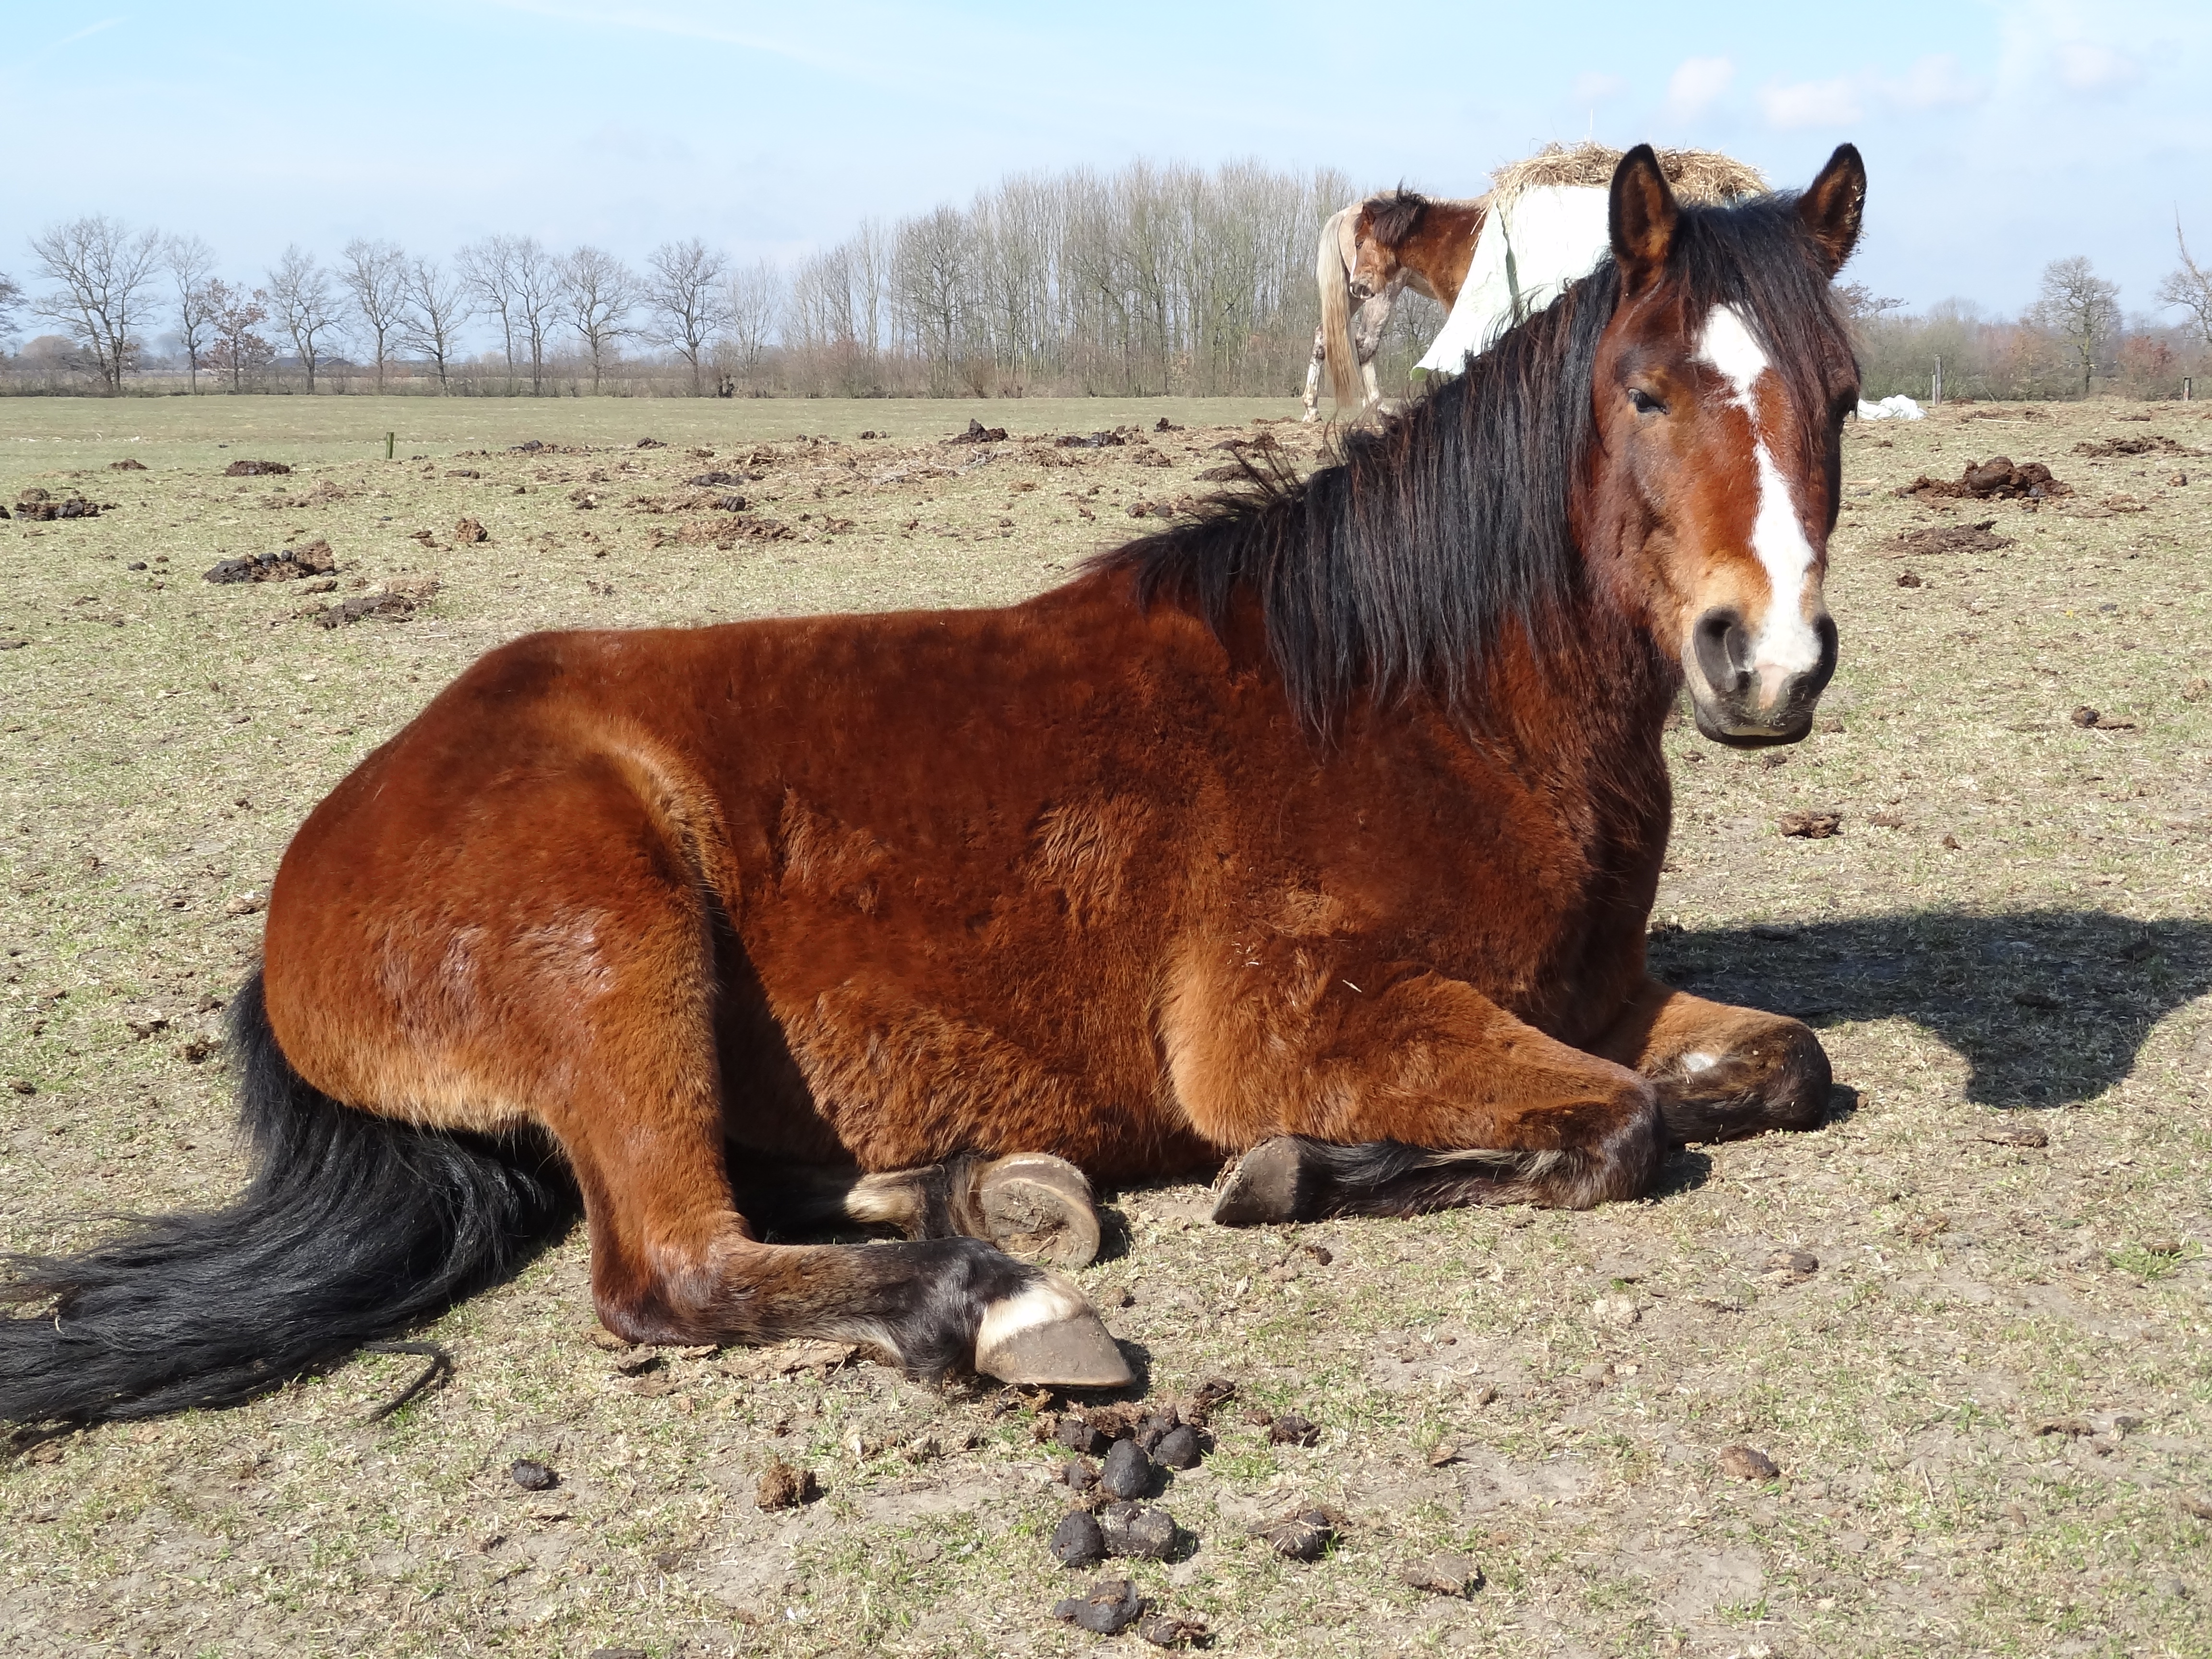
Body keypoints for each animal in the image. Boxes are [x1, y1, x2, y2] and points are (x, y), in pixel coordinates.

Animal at [0, 146, 1867, 1433]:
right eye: (1642, 391)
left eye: (1842, 397)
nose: (1762, 664)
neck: (1416, 700)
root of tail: (333, 837)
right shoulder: (1303, 1022)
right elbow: (1611, 1126)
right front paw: (1286, 1171)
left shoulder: (1593, 990)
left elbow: (1777, 1065)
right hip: (614, 956)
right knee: (667, 1267)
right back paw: (999, 1301)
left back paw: (989, 1189)